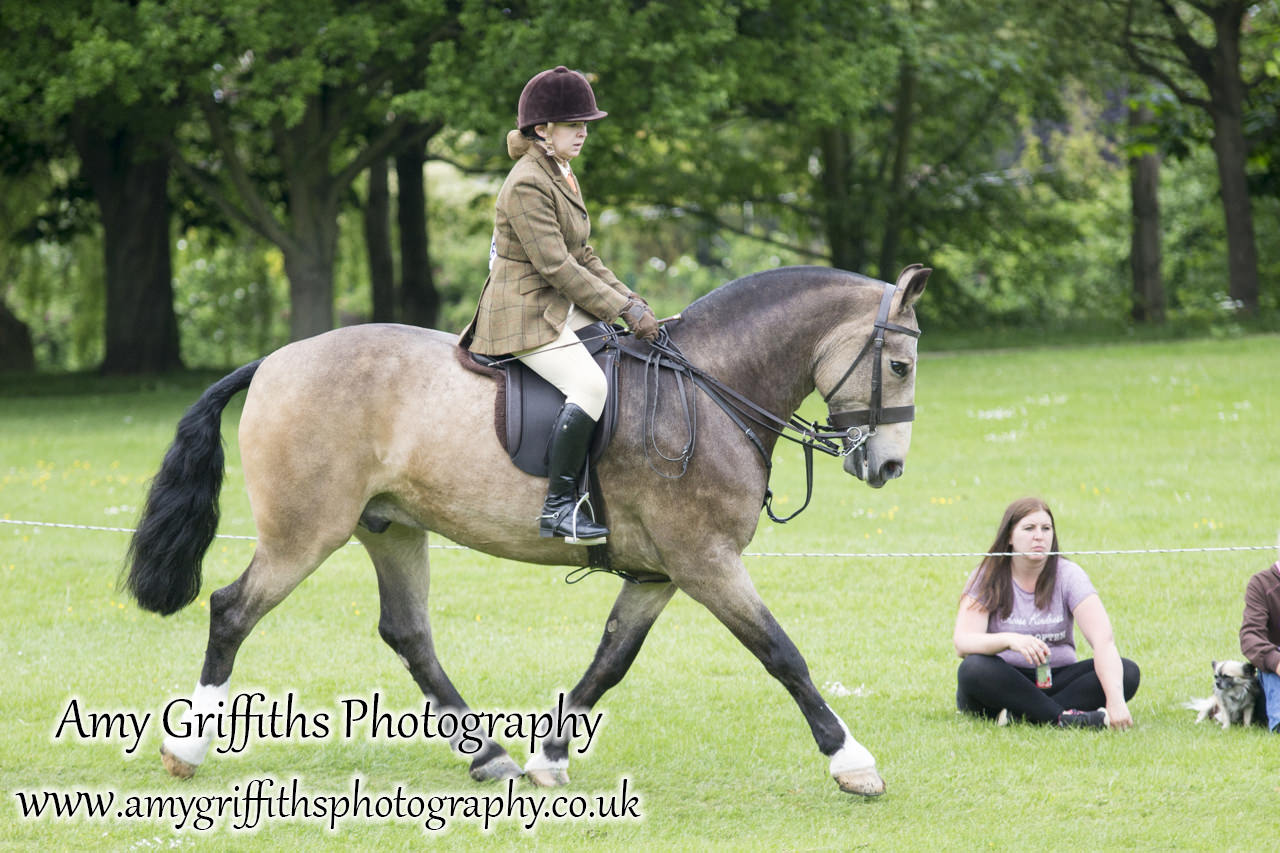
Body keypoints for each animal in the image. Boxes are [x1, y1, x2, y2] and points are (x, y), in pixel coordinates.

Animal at [124, 262, 931, 794]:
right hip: (303, 534)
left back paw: (489, 755)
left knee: (409, 635)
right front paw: (852, 761)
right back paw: (186, 750)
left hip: (390, 528)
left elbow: (611, 661)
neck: (709, 386)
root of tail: (272, 362)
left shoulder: (661, 573)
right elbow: (782, 653)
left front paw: (549, 758)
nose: (890, 466)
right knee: (232, 611)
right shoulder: (705, 562)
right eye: (899, 364)